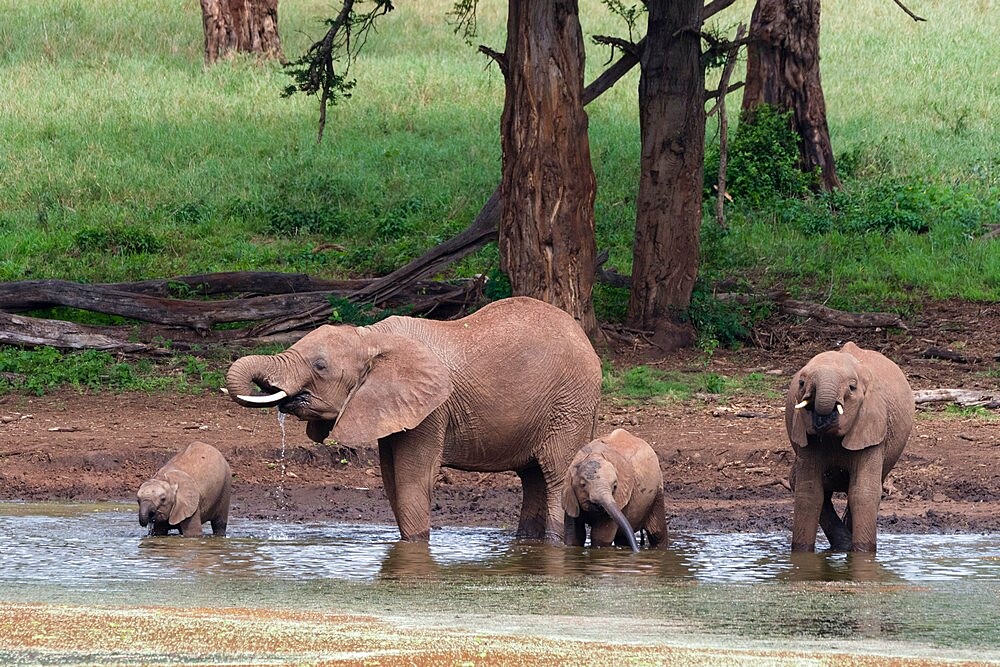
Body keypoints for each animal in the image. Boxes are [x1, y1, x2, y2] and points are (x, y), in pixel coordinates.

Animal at [228, 298, 600, 544]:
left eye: (320, 366)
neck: (372, 337)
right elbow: (392, 480)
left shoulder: (432, 410)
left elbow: (412, 480)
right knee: (534, 478)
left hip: (570, 405)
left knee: (555, 476)